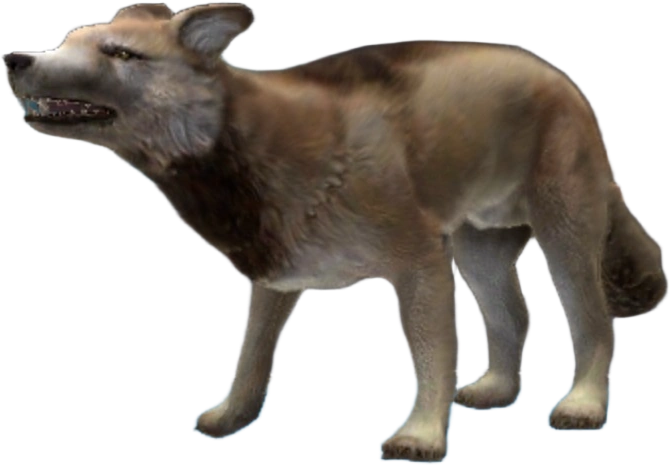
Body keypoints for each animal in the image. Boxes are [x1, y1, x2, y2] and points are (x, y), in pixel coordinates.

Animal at [4, 2, 667, 462]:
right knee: (515, 317)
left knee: (593, 322)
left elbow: (432, 353)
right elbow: (252, 356)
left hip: (563, 235)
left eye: (120, 55)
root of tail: (560, 78)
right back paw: (496, 389)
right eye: (64, 42)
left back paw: (583, 403)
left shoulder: (419, 263)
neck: (237, 147)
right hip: (477, 252)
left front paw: (421, 435)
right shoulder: (277, 279)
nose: (16, 61)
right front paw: (233, 416)